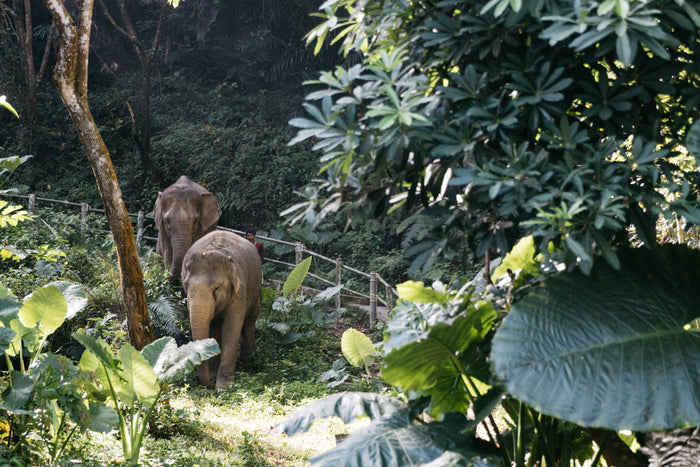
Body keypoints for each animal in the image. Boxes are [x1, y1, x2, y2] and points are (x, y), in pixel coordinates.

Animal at [181, 230, 262, 389]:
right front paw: (215, 379)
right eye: (186, 286)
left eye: (217, 287)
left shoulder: (240, 290)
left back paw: (247, 360)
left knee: (249, 321)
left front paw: (224, 387)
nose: (210, 384)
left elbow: (232, 327)